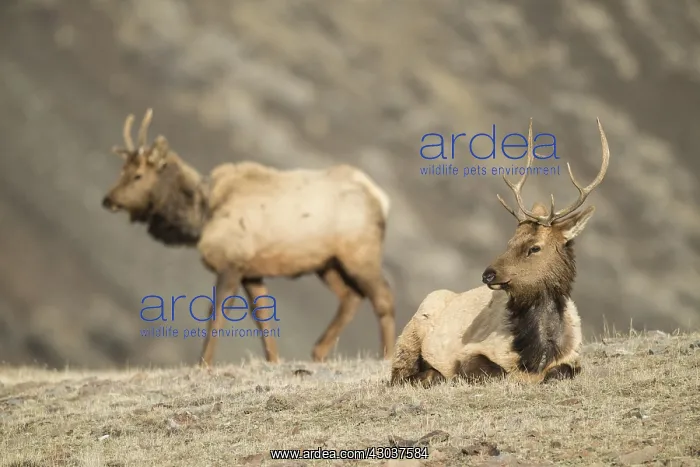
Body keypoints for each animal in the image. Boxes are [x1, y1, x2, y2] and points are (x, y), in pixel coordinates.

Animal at [101, 109, 396, 367]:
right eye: (122, 170)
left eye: (138, 175)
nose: (108, 200)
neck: (202, 214)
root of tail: (381, 199)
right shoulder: (251, 272)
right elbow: (263, 316)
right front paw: (273, 360)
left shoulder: (231, 264)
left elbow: (217, 313)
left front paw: (203, 364)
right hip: (327, 263)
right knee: (351, 296)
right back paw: (319, 351)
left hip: (359, 253)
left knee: (383, 297)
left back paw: (388, 355)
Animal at [390, 117, 610, 387]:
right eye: (510, 241)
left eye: (534, 247)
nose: (488, 274)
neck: (537, 355)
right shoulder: (470, 352)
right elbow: (496, 372)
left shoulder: (574, 358)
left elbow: (562, 371)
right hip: (409, 335)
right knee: (398, 375)